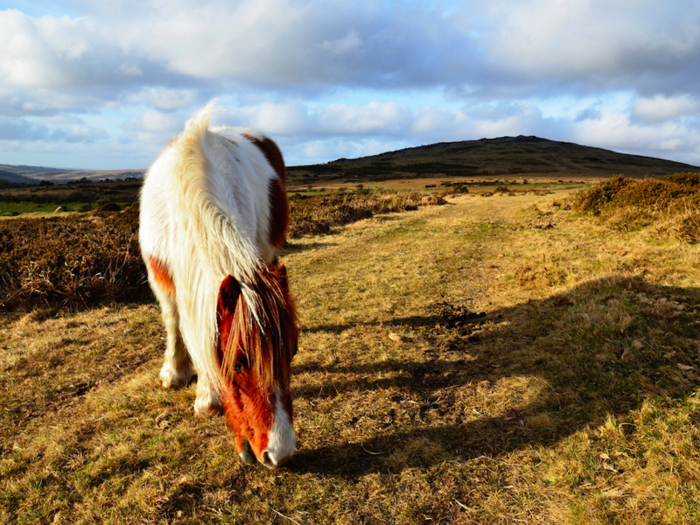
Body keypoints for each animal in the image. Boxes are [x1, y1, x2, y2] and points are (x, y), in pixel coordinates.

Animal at [139, 101, 298, 466]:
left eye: (293, 351)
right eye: (238, 363)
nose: (280, 454)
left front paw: (205, 392)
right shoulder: (161, 277)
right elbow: (176, 321)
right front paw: (179, 374)